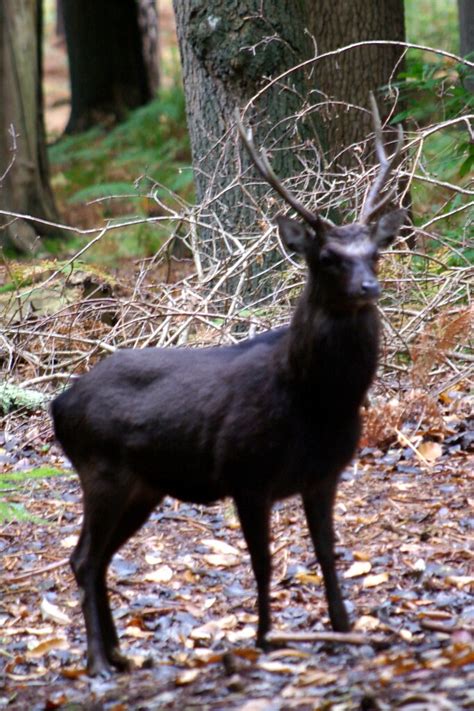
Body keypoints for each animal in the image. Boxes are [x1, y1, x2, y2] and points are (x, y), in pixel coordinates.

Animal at [52, 97, 408, 676]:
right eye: (326, 258)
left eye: (373, 253)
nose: (368, 287)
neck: (313, 401)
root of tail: (58, 406)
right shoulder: (247, 474)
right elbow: (262, 563)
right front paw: (265, 638)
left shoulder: (325, 474)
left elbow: (327, 553)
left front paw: (345, 629)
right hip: (100, 470)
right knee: (82, 557)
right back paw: (99, 662)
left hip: (144, 485)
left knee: (98, 558)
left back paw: (121, 654)